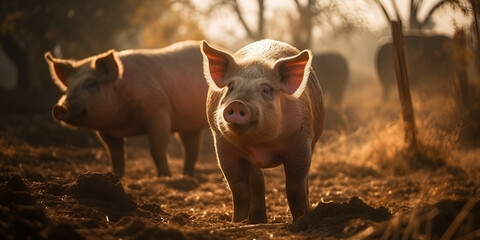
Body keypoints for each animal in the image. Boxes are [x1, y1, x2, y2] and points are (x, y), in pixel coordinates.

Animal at [45, 40, 208, 176]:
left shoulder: (159, 111)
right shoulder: (106, 131)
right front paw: (116, 176)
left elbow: (157, 151)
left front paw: (165, 177)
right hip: (189, 126)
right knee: (192, 149)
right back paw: (187, 175)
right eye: (69, 87)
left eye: (91, 84)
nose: (59, 107)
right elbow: (116, 156)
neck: (121, 121)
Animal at [201, 39, 324, 223]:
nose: (237, 103)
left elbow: (295, 189)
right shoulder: (223, 146)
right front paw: (237, 222)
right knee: (257, 181)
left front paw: (300, 220)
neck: (259, 145)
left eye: (265, 90)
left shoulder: (301, 142)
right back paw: (257, 221)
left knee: (303, 182)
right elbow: (239, 190)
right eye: (231, 87)